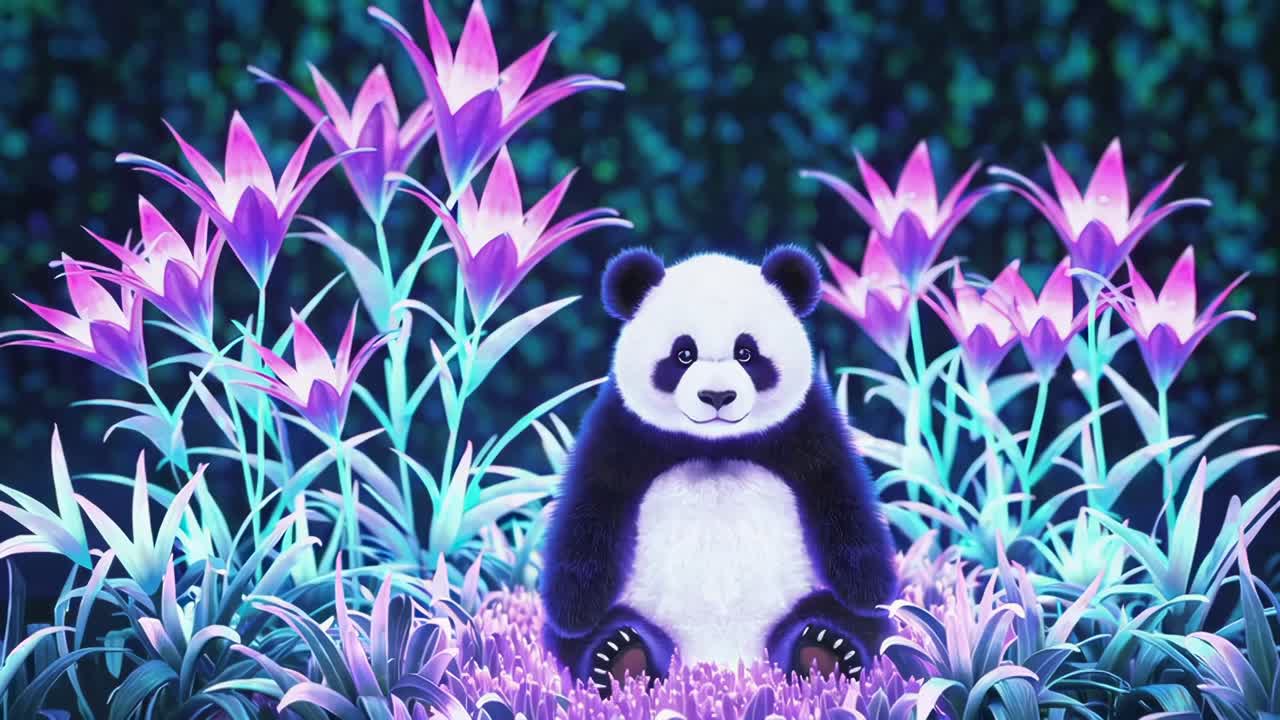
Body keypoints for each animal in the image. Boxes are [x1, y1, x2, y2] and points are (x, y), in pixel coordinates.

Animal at [539, 246, 897, 695]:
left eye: (746, 353)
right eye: (683, 354)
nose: (716, 396)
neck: (714, 445)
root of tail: (723, 662)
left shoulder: (808, 426)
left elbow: (841, 501)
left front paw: (867, 590)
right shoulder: (621, 428)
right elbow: (591, 508)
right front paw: (575, 609)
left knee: (853, 623)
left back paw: (825, 647)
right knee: (585, 639)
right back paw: (620, 656)